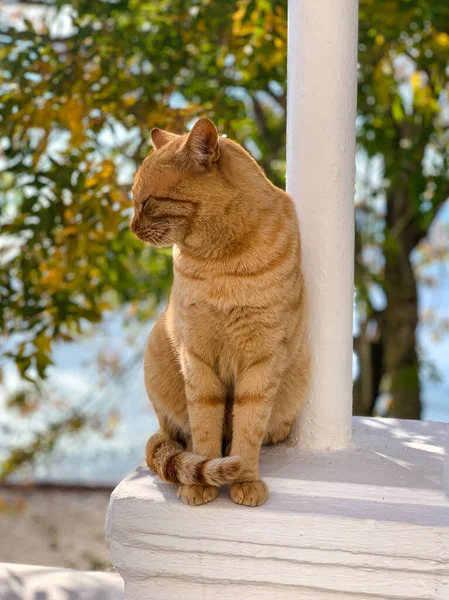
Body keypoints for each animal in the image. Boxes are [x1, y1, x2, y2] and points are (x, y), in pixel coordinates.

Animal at [128, 118, 306, 506]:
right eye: (134, 203)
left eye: (147, 202)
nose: (132, 229)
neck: (222, 262)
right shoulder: (196, 356)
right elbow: (205, 427)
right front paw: (201, 483)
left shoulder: (262, 358)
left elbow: (249, 427)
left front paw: (246, 479)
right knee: (182, 437)